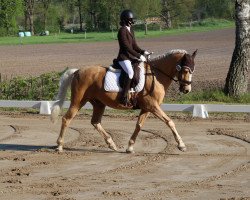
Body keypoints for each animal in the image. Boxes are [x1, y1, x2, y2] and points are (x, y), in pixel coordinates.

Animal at [50, 49, 197, 152]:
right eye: (185, 70)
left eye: (192, 70)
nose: (186, 89)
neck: (156, 75)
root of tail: (77, 71)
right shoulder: (153, 106)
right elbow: (169, 122)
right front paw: (181, 145)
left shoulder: (147, 108)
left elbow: (139, 125)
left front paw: (130, 147)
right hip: (78, 101)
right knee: (67, 119)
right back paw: (59, 146)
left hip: (98, 104)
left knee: (95, 122)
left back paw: (111, 144)